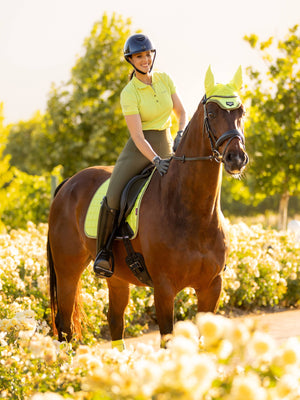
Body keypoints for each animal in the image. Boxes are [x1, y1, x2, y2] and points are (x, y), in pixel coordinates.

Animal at [47, 69, 248, 344]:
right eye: (212, 114)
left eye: (241, 112)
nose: (236, 158)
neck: (193, 212)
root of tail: (68, 183)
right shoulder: (164, 289)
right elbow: (167, 340)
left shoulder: (211, 287)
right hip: (67, 271)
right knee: (65, 326)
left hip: (117, 278)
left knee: (115, 321)